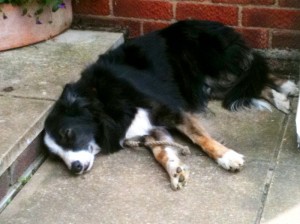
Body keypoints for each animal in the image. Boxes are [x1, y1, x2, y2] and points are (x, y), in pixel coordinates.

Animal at [44, 20, 298, 190]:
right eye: (55, 156)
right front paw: (175, 171)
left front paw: (228, 157)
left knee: (254, 72)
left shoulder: (171, 110)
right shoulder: (148, 129)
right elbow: (162, 152)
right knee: (251, 83)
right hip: (207, 85)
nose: (75, 168)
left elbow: (201, 138)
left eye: (68, 133)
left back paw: (286, 87)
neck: (103, 103)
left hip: (213, 65)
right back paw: (280, 96)